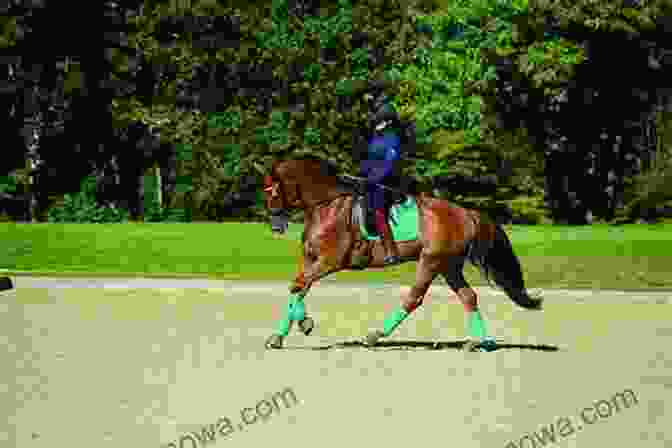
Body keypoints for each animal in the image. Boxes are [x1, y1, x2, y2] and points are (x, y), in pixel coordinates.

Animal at [260, 159, 544, 352]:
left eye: (273, 191)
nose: (276, 227)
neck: (327, 205)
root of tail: (466, 213)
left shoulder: (330, 262)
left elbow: (297, 285)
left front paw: (304, 323)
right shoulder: (311, 260)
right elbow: (298, 287)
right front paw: (281, 335)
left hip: (430, 261)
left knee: (414, 297)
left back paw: (375, 336)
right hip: (448, 265)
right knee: (468, 297)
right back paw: (483, 342)